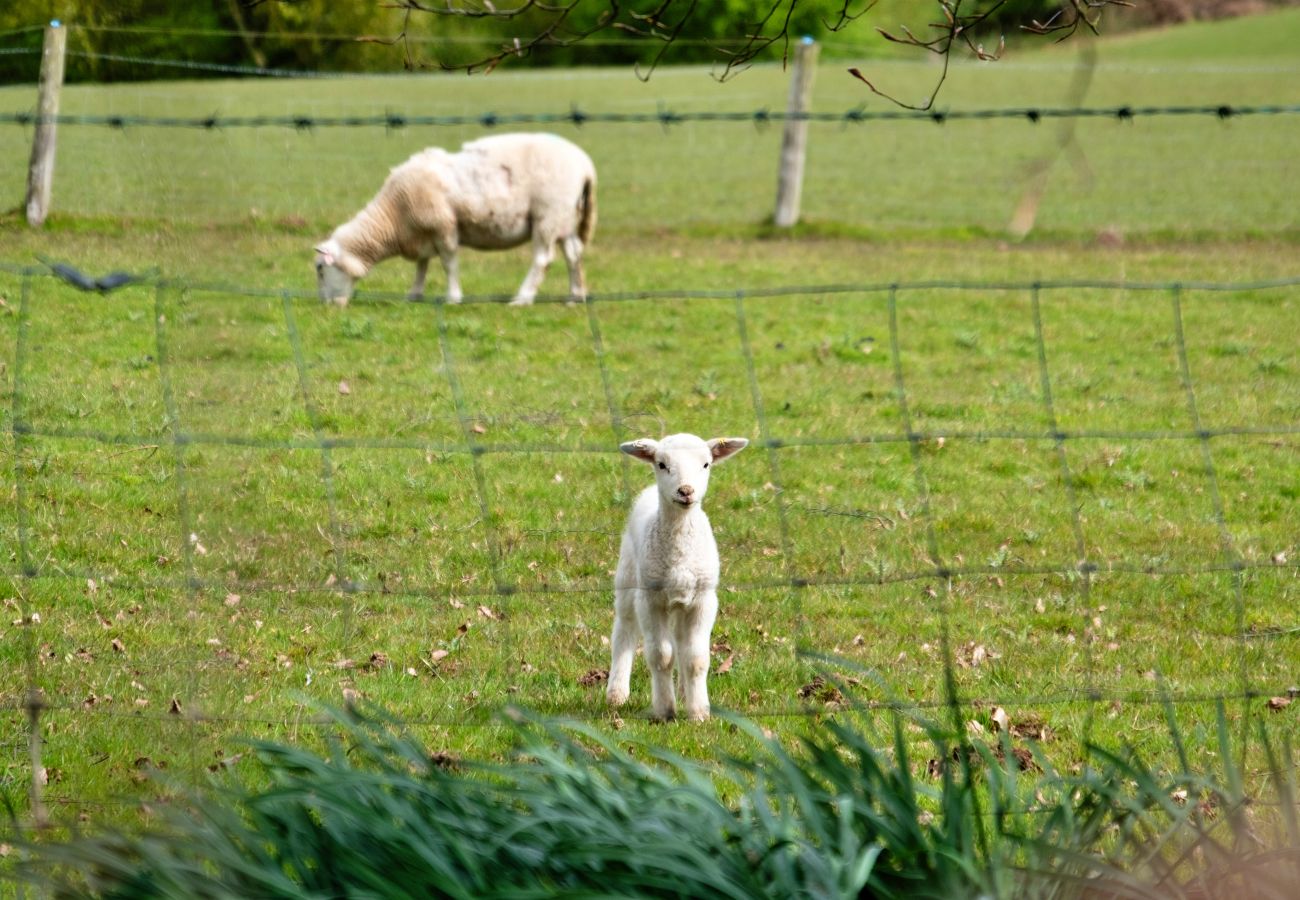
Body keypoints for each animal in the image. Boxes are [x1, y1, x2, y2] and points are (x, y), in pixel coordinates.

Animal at [314, 130, 598, 305]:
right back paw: (575, 297)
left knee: (542, 259)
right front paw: (414, 294)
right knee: (574, 254)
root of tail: (585, 165)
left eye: (320, 269)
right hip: (566, 217)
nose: (327, 305)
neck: (393, 216)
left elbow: (448, 263)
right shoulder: (423, 233)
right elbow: (422, 265)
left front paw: (453, 297)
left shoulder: (443, 226)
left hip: (547, 215)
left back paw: (522, 298)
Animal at [603, 431, 748, 723]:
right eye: (662, 464)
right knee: (624, 630)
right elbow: (661, 655)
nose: (686, 491)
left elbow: (696, 658)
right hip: (628, 576)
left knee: (681, 641)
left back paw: (683, 692)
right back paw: (617, 693)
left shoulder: (703, 600)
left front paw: (699, 712)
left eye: (706, 464)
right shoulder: (650, 600)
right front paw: (665, 711)